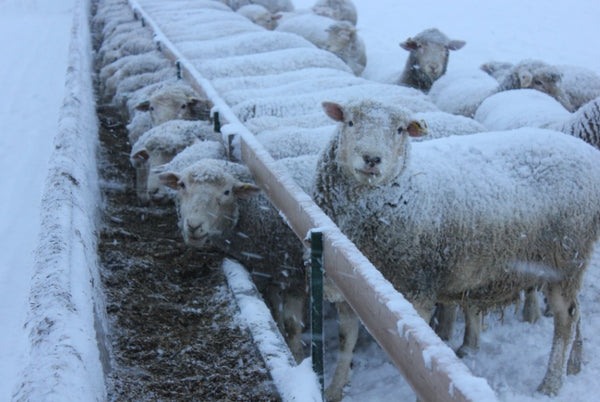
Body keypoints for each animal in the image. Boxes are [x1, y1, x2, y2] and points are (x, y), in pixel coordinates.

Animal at [158, 155, 318, 362]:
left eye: (227, 192)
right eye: (182, 185)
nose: (194, 226)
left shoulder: (295, 275)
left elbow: (292, 325)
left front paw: (297, 357)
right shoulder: (269, 273)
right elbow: (275, 312)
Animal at [312, 98, 600, 398]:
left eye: (400, 129)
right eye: (350, 122)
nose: (371, 159)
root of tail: (587, 152)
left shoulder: (416, 291)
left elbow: (416, 356)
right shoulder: (347, 285)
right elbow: (346, 340)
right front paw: (333, 389)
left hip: (566, 257)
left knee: (566, 317)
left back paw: (551, 383)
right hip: (568, 263)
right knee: (576, 312)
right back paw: (574, 364)